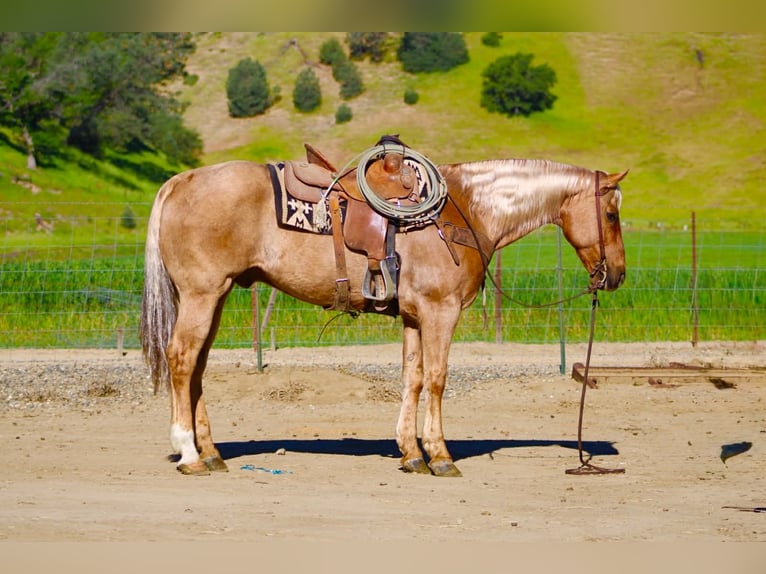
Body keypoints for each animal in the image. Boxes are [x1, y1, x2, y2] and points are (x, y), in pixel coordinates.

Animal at [140, 140, 627, 477]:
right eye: (611, 214)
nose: (617, 275)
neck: (466, 211)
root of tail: (179, 181)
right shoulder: (440, 311)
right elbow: (437, 379)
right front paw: (440, 455)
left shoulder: (413, 316)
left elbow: (412, 378)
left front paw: (411, 454)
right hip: (202, 294)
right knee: (182, 359)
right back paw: (189, 453)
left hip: (215, 296)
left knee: (197, 367)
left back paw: (211, 452)